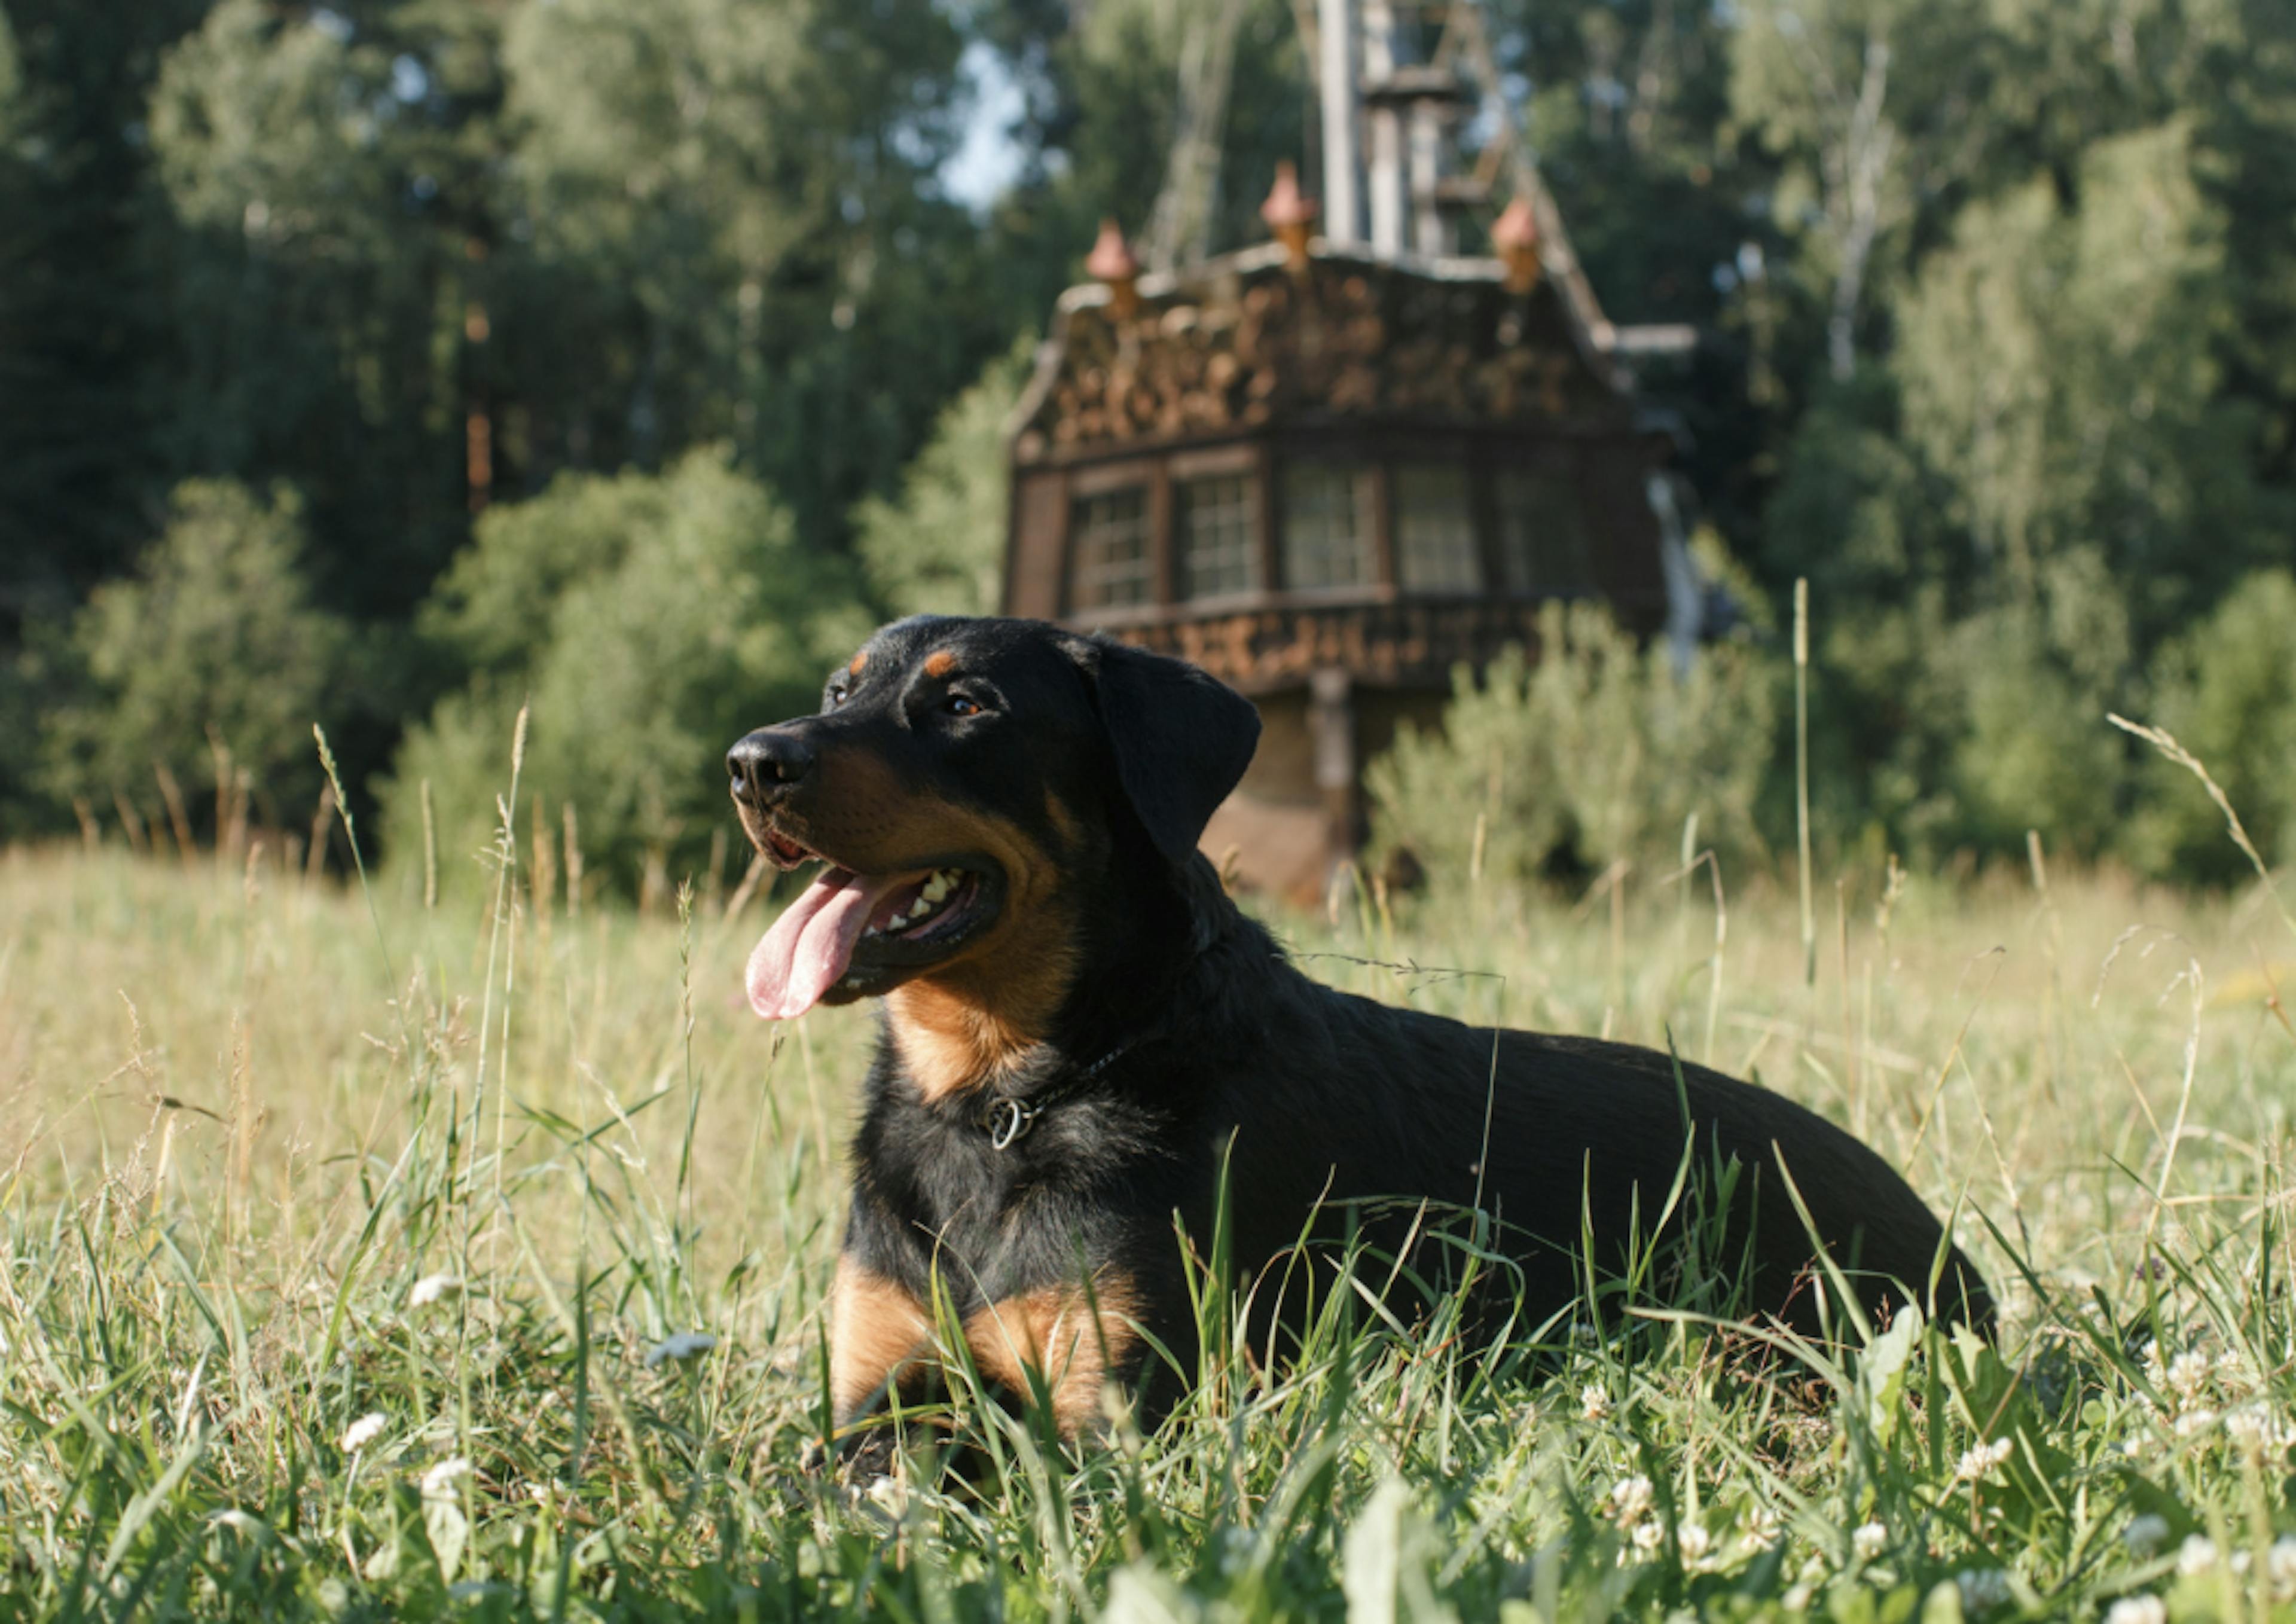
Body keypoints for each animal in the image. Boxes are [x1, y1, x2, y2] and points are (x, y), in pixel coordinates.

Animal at [725, 615, 1983, 1451]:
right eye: (838, 688)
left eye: (965, 704)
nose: (752, 763)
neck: (1000, 1101)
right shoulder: (871, 1394)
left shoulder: (1113, 1412)